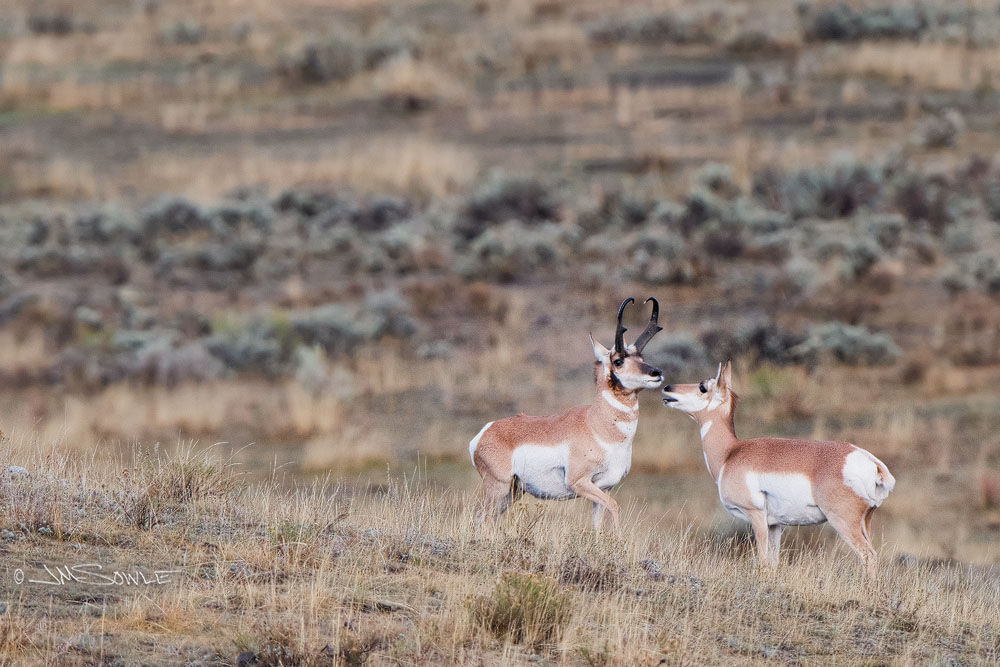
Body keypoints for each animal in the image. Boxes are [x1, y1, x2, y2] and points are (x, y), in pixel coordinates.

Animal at [469, 297, 664, 534]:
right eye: (618, 361)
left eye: (641, 357)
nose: (656, 373)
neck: (598, 426)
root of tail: (484, 432)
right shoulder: (579, 482)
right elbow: (615, 506)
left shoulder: (604, 488)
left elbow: (598, 523)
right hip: (498, 487)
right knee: (483, 518)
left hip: (512, 492)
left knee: (483, 517)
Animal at [661, 361, 895, 578]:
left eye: (703, 387)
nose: (667, 388)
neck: (731, 452)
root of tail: (870, 461)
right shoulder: (775, 525)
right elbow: (773, 563)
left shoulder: (756, 516)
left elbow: (763, 561)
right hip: (865, 522)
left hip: (843, 522)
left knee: (868, 555)